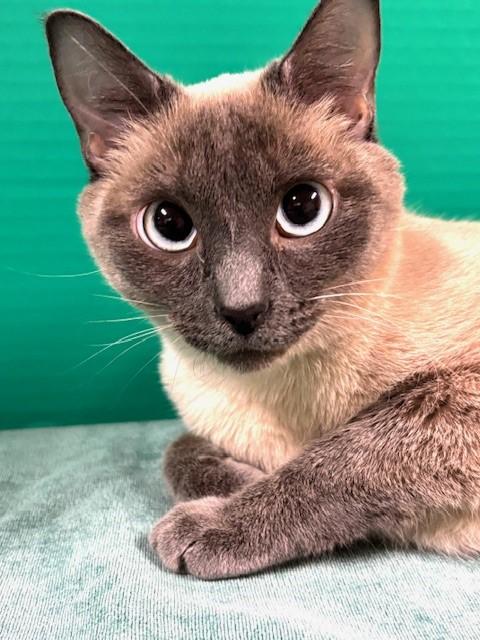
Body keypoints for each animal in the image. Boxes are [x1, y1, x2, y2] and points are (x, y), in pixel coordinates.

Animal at [45, 0, 480, 580]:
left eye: (303, 208)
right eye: (168, 225)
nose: (243, 309)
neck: (273, 397)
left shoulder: (454, 393)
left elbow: (345, 456)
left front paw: (219, 519)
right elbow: (176, 452)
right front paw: (241, 482)